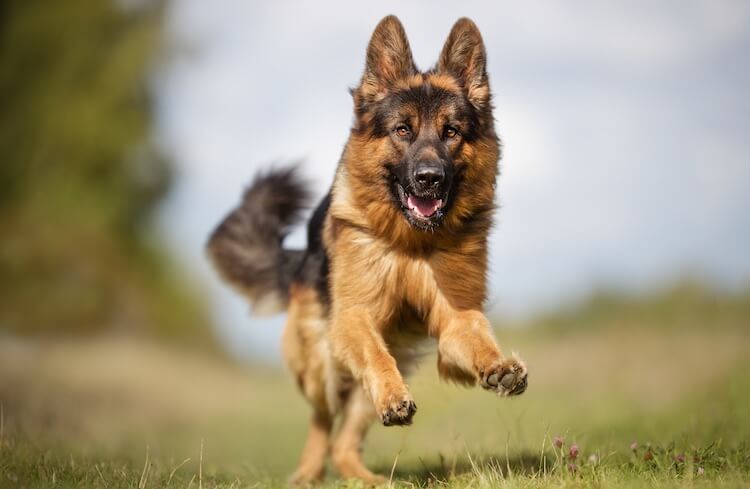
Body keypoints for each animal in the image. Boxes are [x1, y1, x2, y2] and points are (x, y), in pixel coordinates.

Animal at [209, 16, 532, 484]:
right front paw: (395, 395)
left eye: (451, 132)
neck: (412, 241)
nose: (430, 178)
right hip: (321, 365)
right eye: (403, 130)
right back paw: (308, 472)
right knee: (323, 418)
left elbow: (477, 342)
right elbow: (376, 359)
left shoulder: (457, 319)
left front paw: (500, 367)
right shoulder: (354, 317)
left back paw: (369, 479)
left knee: (345, 441)